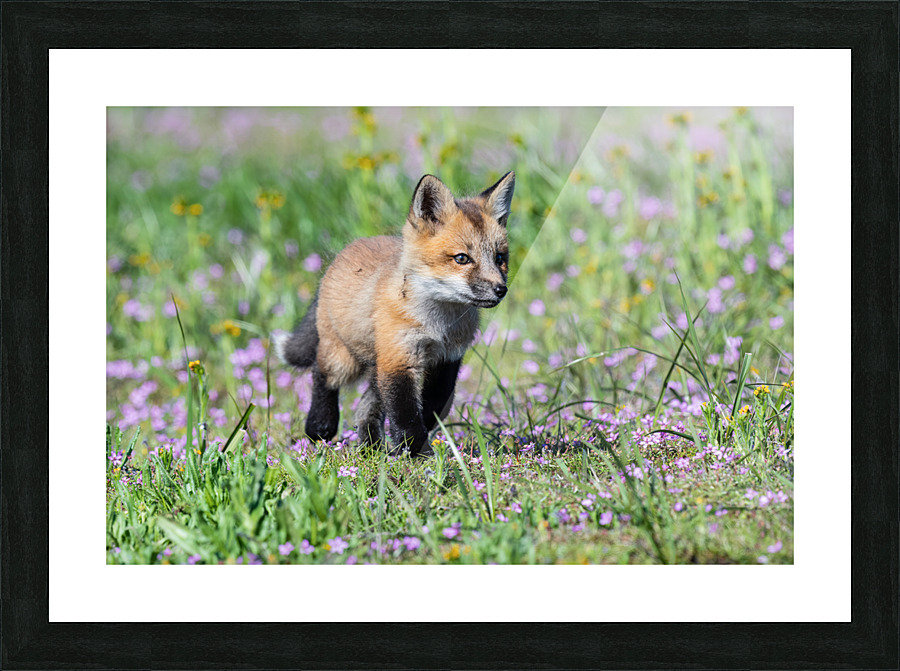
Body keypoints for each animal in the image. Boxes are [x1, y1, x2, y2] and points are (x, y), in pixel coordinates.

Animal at [273, 171, 515, 456]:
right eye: (462, 258)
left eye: (499, 258)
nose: (501, 290)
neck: (437, 325)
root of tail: (349, 248)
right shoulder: (399, 358)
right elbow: (405, 411)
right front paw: (415, 452)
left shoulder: (448, 358)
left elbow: (433, 404)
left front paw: (411, 444)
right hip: (344, 360)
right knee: (322, 374)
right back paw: (320, 426)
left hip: (377, 367)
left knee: (365, 407)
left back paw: (371, 449)